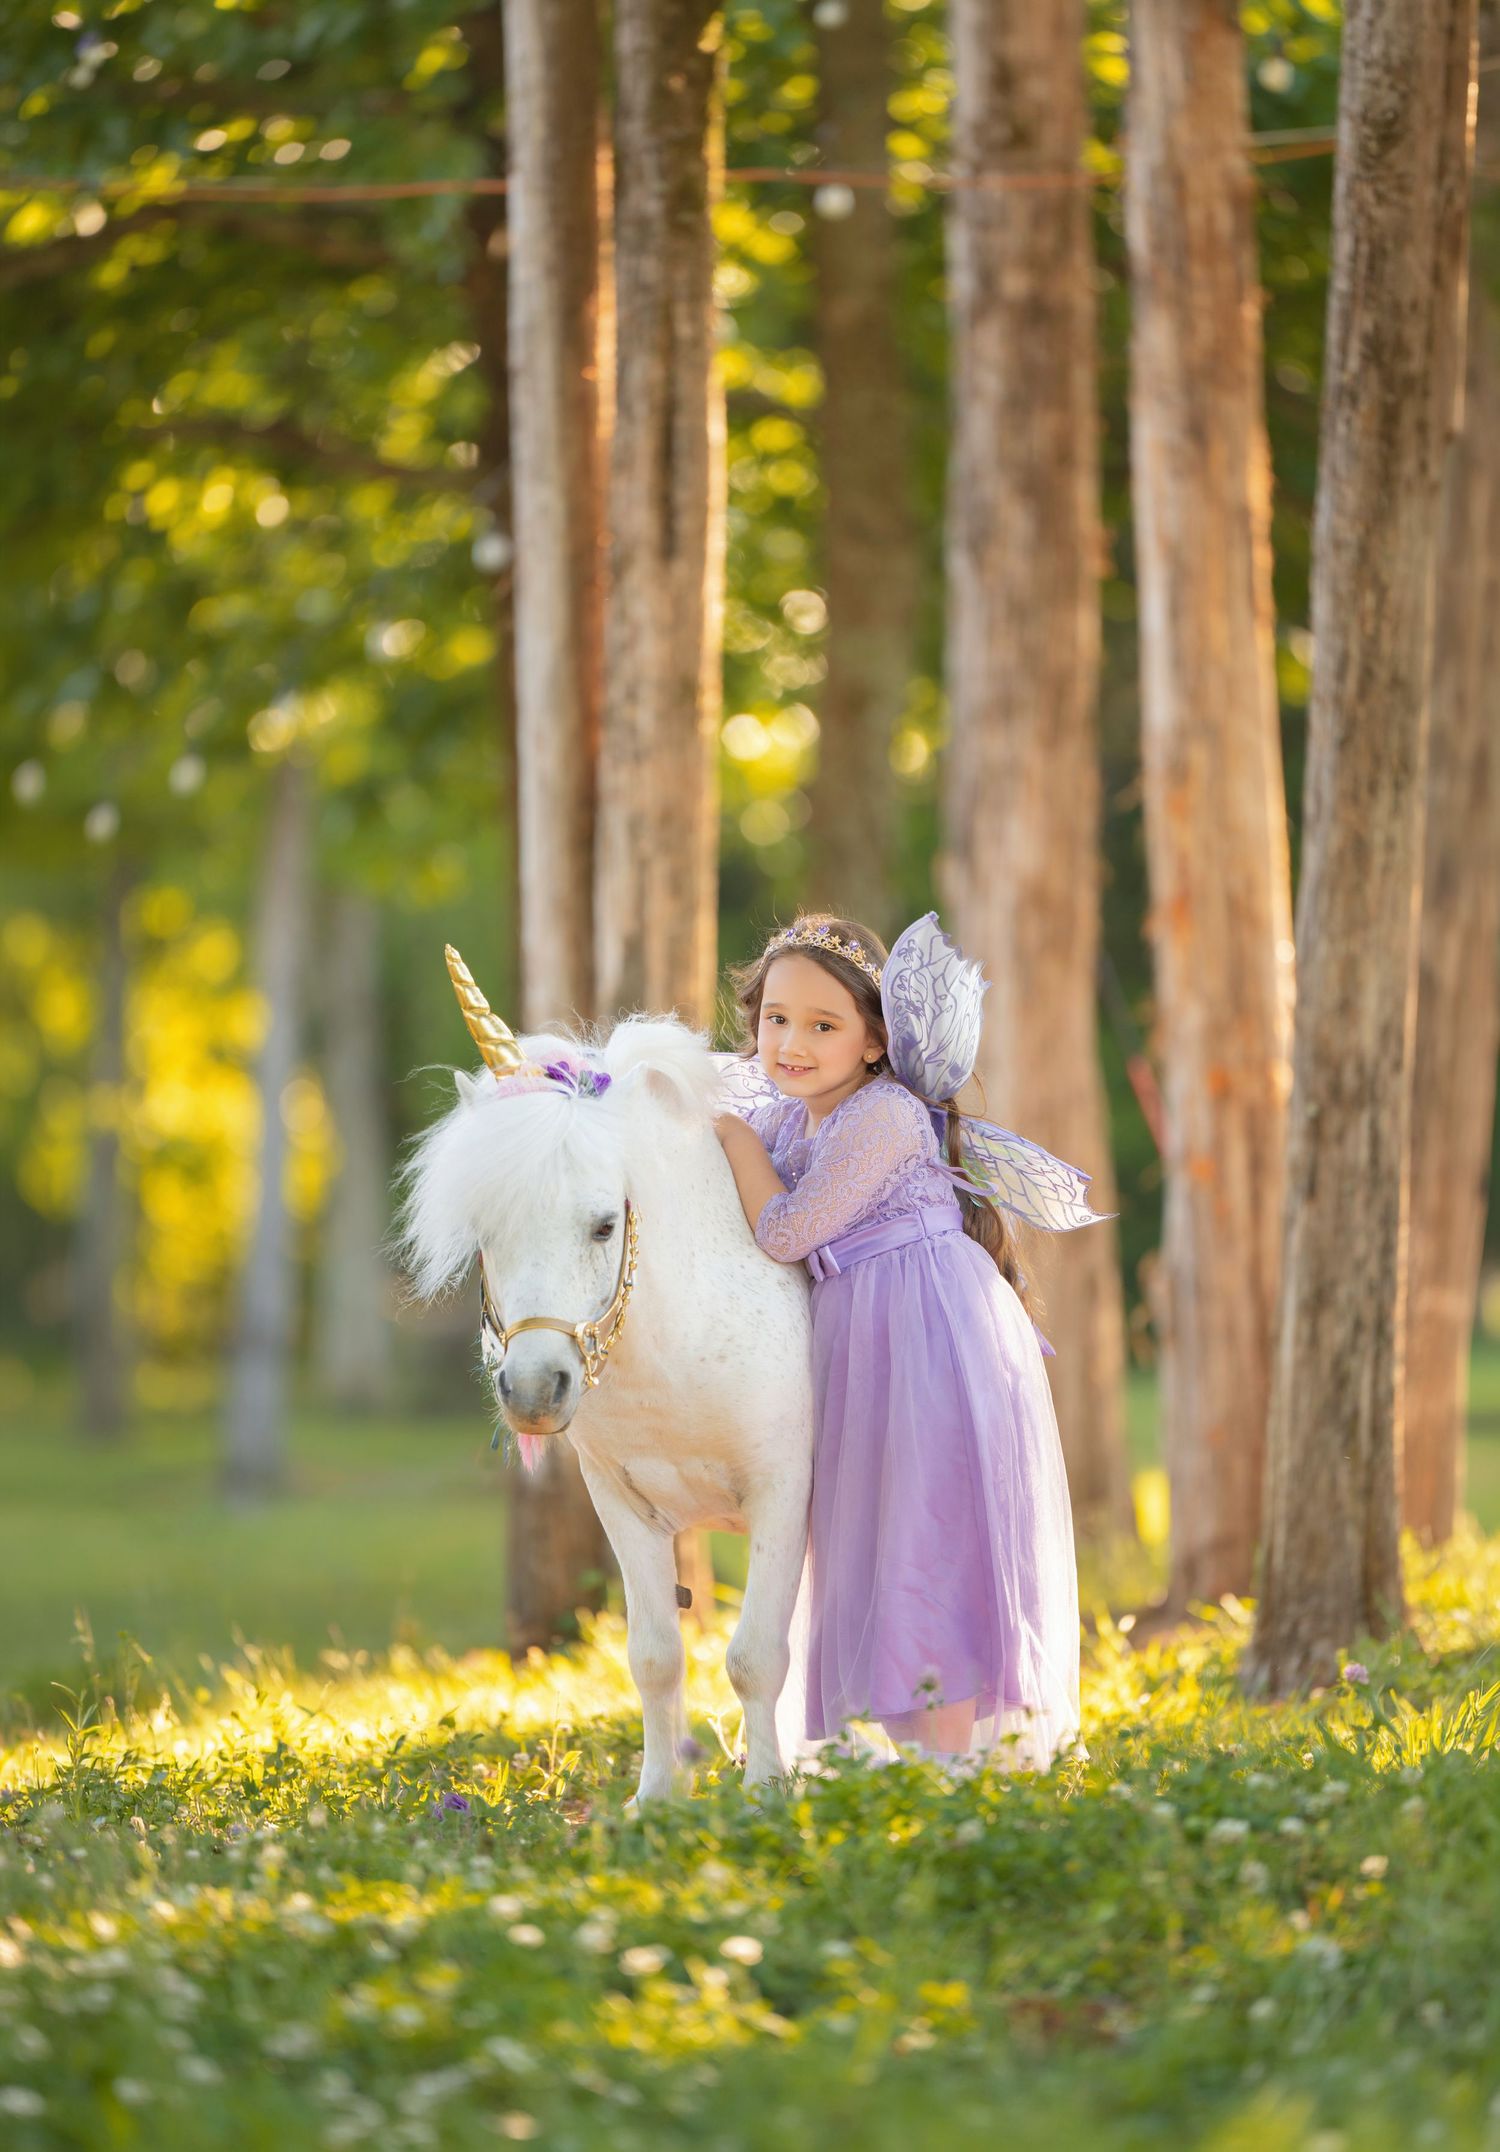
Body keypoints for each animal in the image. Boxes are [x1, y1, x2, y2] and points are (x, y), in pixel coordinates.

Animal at [397, 963, 814, 1805]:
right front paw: (657, 1798)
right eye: (486, 1236)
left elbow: (757, 1656)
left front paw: (765, 1793)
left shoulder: (784, 1495)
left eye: (602, 1225)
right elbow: (655, 1657)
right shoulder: (625, 1507)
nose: (533, 1390)